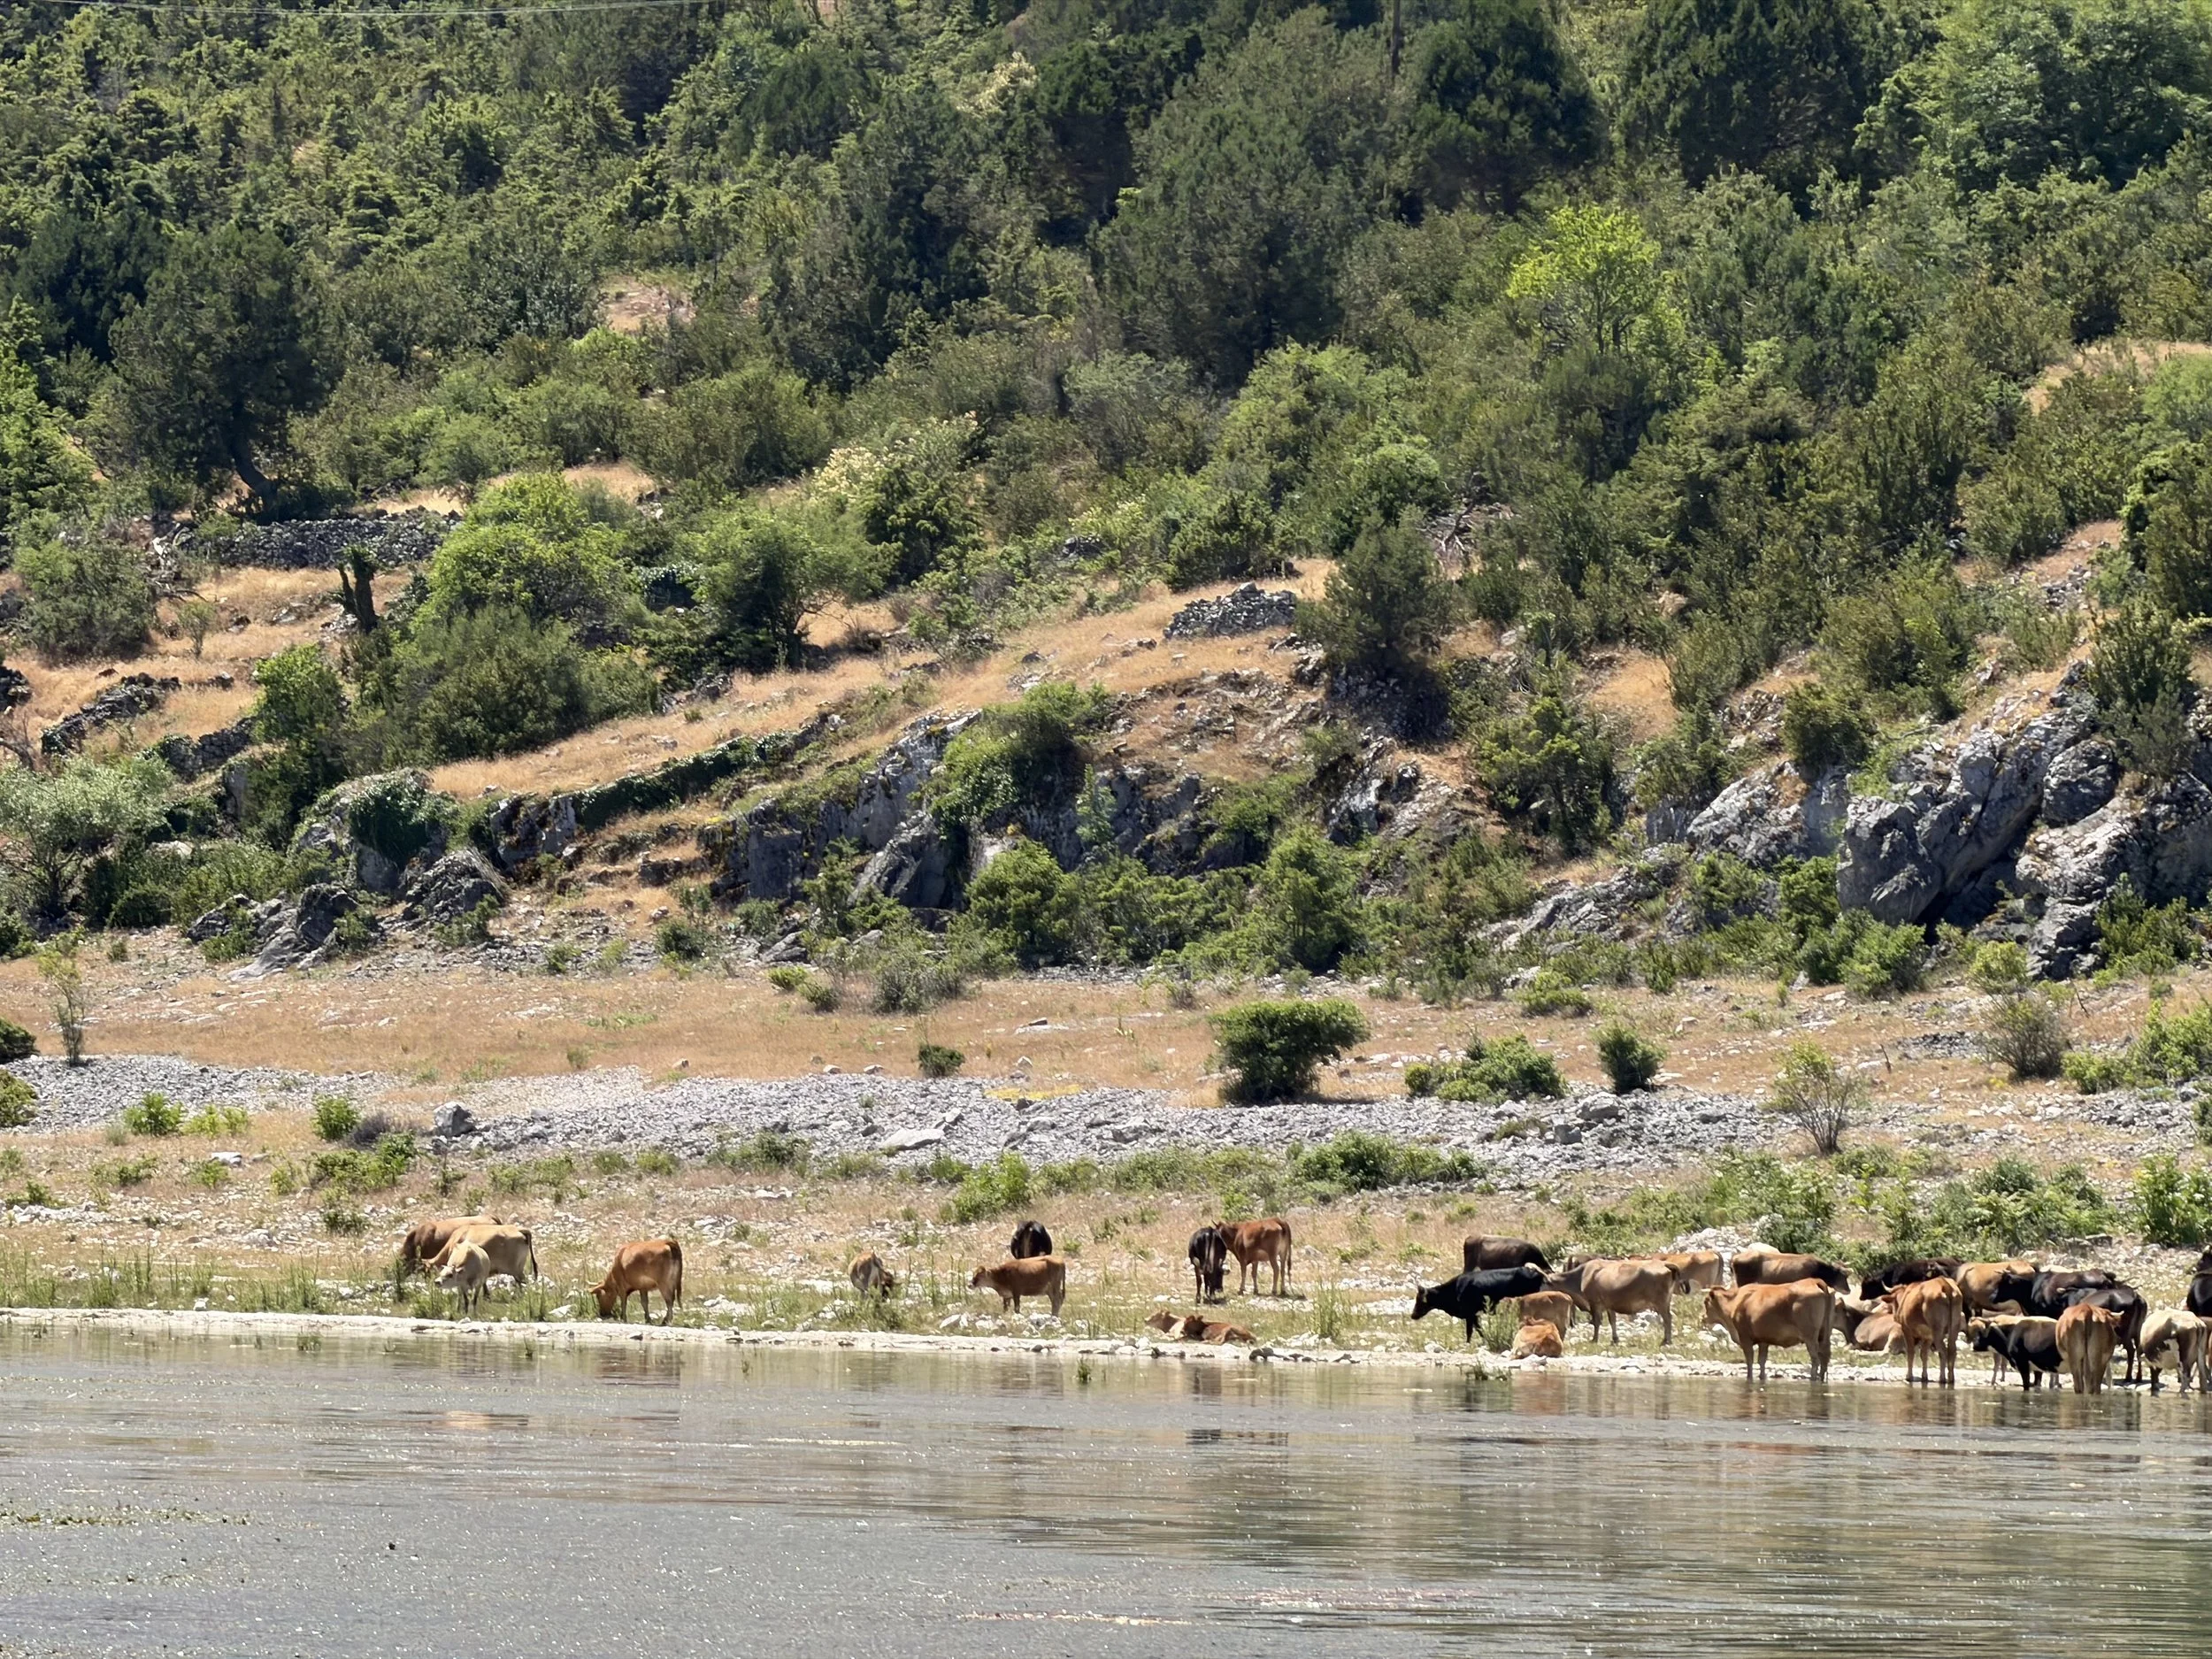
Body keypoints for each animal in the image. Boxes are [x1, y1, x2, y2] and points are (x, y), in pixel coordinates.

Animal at [1410, 1265, 1547, 1343]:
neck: (1454, 1290)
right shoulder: (1474, 1315)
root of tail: (1537, 1273)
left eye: (1420, 1300)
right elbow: (1479, 1330)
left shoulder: (1470, 1314)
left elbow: (1471, 1331)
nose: (1413, 1315)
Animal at [1548, 1259, 1677, 1345]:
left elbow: (1597, 1322)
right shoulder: (1609, 1304)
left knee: (1667, 1318)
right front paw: (1615, 1339)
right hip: (1666, 1301)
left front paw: (1594, 1339)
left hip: (1661, 1302)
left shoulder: (1595, 1303)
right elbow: (1612, 1321)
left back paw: (1666, 1341)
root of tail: (1664, 1264)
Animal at [1703, 1282, 1836, 1381]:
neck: (1735, 1302)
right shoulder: (1764, 1340)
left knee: (1815, 1359)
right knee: (1824, 1357)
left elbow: (1750, 1361)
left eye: (1705, 1301)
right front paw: (1762, 1377)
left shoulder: (1745, 1337)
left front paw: (1749, 1378)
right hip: (1825, 1334)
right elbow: (1761, 1361)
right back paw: (1821, 1379)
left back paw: (1813, 1378)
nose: (1703, 1317)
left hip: (1810, 1336)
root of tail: (1814, 1281)